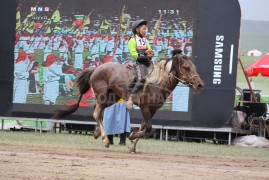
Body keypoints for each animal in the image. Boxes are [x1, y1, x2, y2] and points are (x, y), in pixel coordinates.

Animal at [54, 49, 203, 153]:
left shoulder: (153, 110)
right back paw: (105, 139)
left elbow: (144, 126)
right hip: (102, 95)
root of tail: (96, 68)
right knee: (97, 113)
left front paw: (132, 147)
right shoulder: (144, 106)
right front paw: (131, 136)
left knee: (97, 112)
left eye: (194, 67)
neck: (157, 81)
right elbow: (148, 127)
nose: (200, 84)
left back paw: (97, 133)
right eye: (187, 67)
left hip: (111, 98)